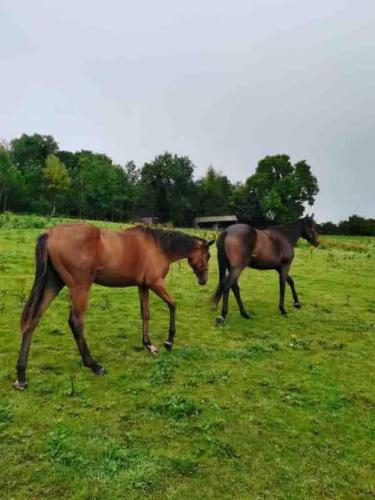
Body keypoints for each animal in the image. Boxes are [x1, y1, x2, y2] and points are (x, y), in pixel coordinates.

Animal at [14, 224, 214, 390]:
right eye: (208, 255)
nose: (203, 280)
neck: (158, 247)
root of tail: (50, 233)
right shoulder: (155, 282)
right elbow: (172, 304)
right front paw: (169, 341)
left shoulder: (143, 285)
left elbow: (145, 313)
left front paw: (148, 344)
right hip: (80, 287)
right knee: (75, 322)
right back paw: (94, 365)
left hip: (52, 283)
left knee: (33, 319)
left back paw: (21, 376)